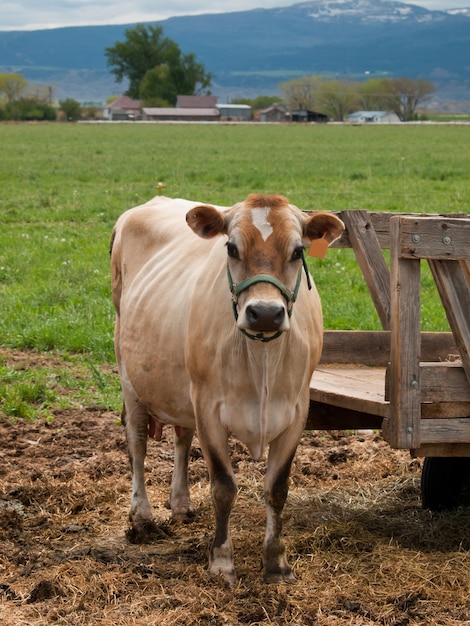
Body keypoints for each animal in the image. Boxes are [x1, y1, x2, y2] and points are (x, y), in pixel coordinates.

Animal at [111, 193, 346, 584]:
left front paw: (276, 561)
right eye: (232, 248)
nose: (264, 312)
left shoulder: (297, 411)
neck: (262, 358)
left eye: (298, 250)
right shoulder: (208, 408)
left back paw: (181, 504)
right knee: (137, 442)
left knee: (181, 436)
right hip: (129, 373)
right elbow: (223, 487)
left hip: (180, 389)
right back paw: (142, 517)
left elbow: (277, 489)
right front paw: (221, 561)